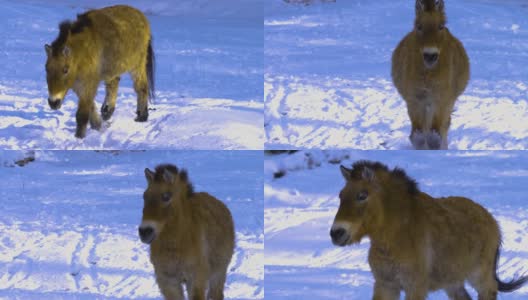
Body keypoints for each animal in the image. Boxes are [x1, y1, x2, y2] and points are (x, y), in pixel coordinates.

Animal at [44, 4, 155, 138]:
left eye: (65, 70)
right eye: (47, 69)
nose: (53, 103)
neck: (81, 53)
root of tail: (141, 16)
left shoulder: (87, 83)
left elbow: (82, 113)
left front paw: (79, 137)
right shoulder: (79, 85)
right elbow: (90, 106)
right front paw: (97, 125)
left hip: (137, 65)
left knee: (141, 87)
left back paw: (142, 117)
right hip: (113, 70)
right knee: (113, 84)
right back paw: (107, 111)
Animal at [139, 164, 234, 300]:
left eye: (166, 196)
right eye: (145, 196)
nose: (145, 232)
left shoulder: (196, 279)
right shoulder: (168, 282)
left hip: (219, 273)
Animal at [330, 159, 528, 298]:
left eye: (362, 195)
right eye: (341, 195)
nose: (336, 233)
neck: (397, 234)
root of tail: (492, 221)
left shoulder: (414, 286)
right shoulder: (385, 285)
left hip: (480, 276)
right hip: (453, 281)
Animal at [392, 0, 470, 150]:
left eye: (441, 26)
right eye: (419, 26)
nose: (430, 56)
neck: (428, 74)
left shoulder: (442, 99)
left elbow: (435, 137)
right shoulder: (415, 99)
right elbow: (418, 137)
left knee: (444, 126)